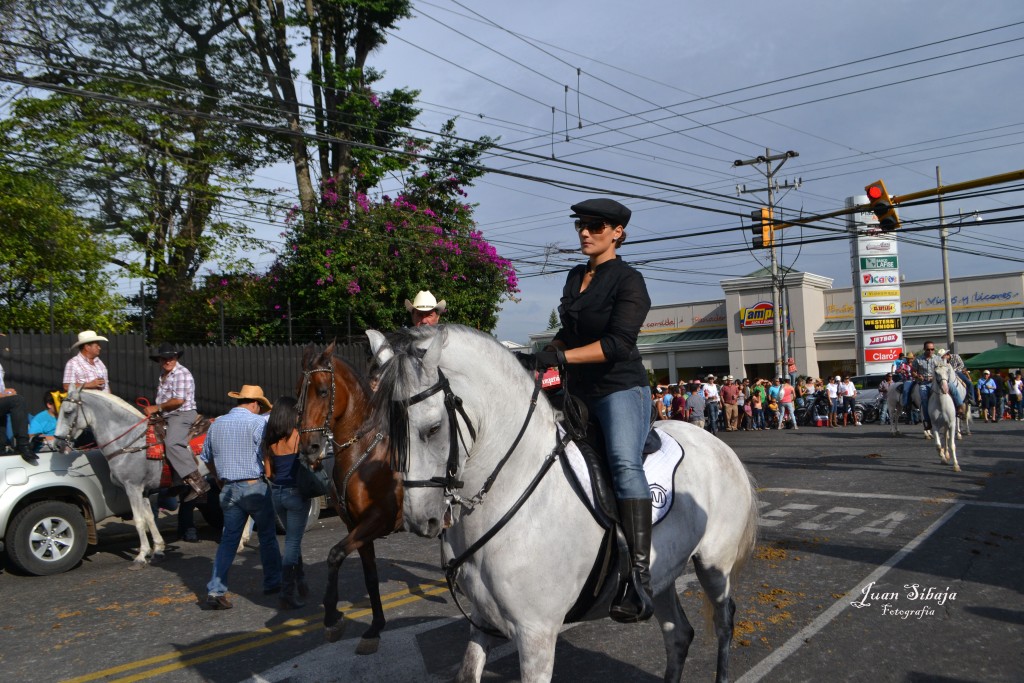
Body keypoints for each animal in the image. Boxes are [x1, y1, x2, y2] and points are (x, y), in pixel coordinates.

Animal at [296, 344, 399, 655]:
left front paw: (332, 616)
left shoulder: (378, 519)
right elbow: (370, 576)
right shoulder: (356, 526)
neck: (364, 451)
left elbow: (334, 555)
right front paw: (375, 627)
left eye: (322, 391)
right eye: (299, 389)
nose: (309, 448)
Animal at [368, 325, 761, 683]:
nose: (421, 520)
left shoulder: (536, 635)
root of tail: (718, 445)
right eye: (387, 431)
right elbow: (467, 672)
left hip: (714, 566)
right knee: (678, 635)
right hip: (663, 575)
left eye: (433, 429)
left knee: (724, 623)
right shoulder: (481, 622)